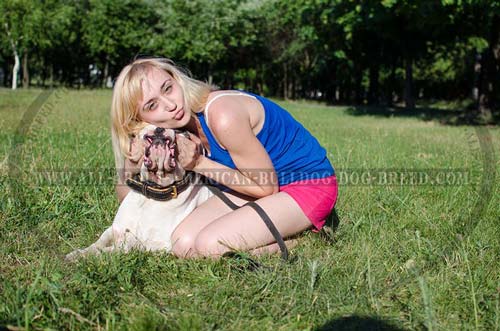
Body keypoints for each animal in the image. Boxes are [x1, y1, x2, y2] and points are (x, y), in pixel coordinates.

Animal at [65, 125, 212, 262]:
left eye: (181, 132)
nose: (159, 128)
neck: (151, 194)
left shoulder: (155, 244)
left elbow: (113, 249)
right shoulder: (114, 228)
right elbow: (98, 243)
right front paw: (79, 254)